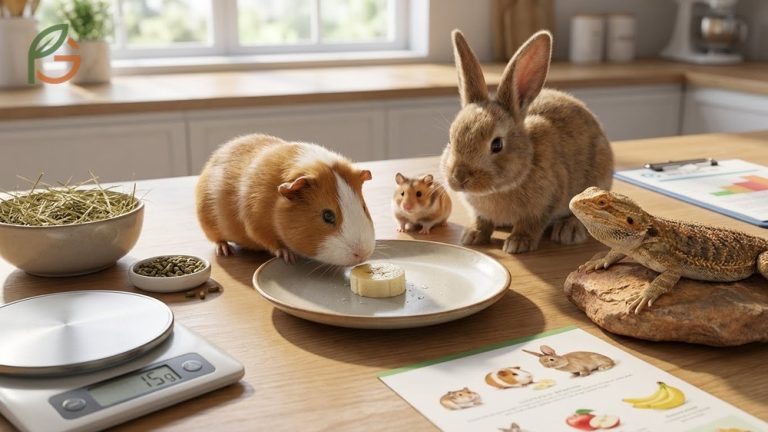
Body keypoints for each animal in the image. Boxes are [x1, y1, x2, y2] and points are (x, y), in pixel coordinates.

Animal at [196, 133, 375, 266]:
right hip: (209, 225)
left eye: (364, 207)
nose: (362, 253)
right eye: (328, 215)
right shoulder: (255, 223)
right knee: (218, 240)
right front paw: (288, 256)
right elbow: (270, 241)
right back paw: (225, 250)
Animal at [440, 29, 614, 254]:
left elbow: (531, 223)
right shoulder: (480, 212)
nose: (459, 178)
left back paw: (568, 231)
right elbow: (482, 221)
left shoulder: (545, 202)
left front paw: (517, 243)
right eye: (451, 139)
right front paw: (473, 235)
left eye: (497, 144)